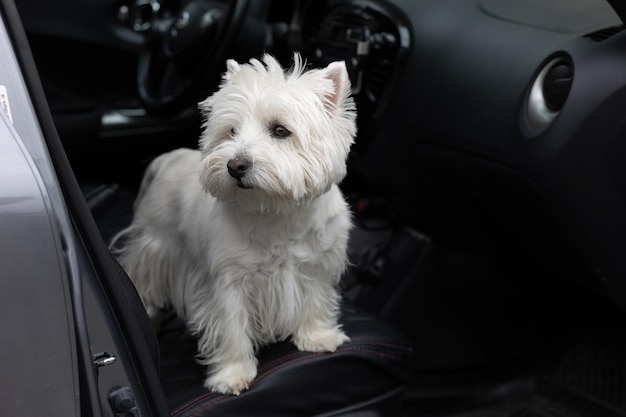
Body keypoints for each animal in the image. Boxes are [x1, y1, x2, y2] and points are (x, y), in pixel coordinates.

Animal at [112, 53, 356, 394]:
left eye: (280, 130)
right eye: (231, 131)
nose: (235, 165)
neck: (276, 211)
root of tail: (167, 158)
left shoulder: (317, 265)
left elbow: (315, 301)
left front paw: (317, 337)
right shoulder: (228, 282)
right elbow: (231, 328)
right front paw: (231, 375)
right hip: (154, 243)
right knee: (141, 280)